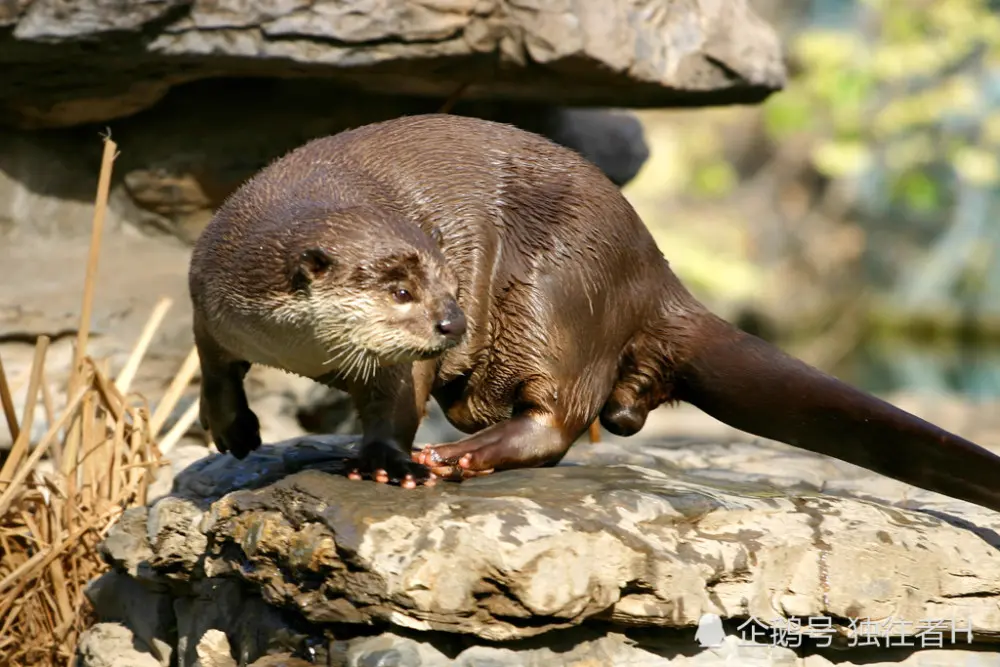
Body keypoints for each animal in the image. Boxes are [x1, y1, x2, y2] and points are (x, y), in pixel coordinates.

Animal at [189, 115, 1000, 512]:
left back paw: (462, 455)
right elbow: (212, 364)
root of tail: (650, 265)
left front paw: (385, 462)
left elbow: (395, 401)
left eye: (447, 283)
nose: (452, 324)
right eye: (398, 289)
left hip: (555, 291)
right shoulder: (210, 295)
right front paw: (233, 429)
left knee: (558, 415)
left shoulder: (405, 365)